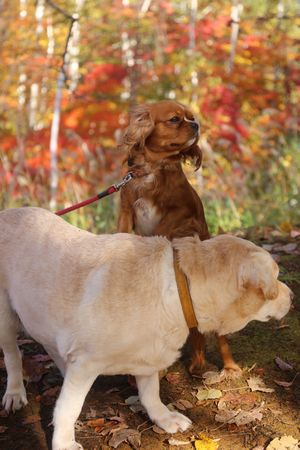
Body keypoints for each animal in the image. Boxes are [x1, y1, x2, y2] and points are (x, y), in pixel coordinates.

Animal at [0, 208, 290, 450]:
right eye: (276, 280)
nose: (292, 296)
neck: (179, 288)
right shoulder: (85, 363)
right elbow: (67, 408)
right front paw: (63, 443)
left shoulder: (149, 356)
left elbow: (151, 394)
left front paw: (164, 418)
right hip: (6, 320)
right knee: (13, 356)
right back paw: (15, 393)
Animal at [118, 101, 240, 376]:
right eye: (175, 119)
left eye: (191, 117)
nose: (196, 125)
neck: (154, 168)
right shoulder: (127, 209)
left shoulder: (183, 214)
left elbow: (163, 229)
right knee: (196, 335)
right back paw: (196, 364)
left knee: (219, 337)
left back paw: (228, 367)